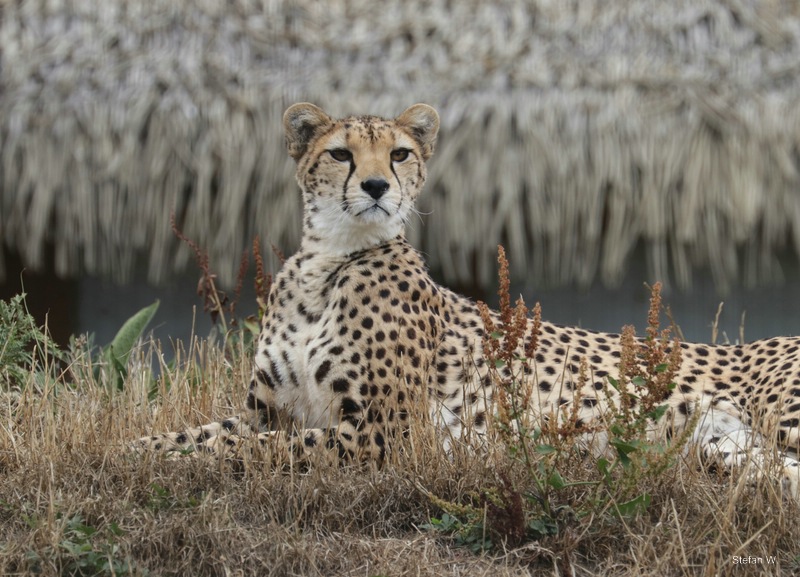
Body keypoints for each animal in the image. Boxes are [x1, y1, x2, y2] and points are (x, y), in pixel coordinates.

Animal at [141, 102, 800, 500]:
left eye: (400, 153)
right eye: (340, 153)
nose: (376, 186)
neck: (328, 260)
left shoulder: (387, 435)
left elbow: (257, 447)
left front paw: (176, 462)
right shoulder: (268, 409)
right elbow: (203, 430)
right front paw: (144, 448)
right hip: (727, 450)